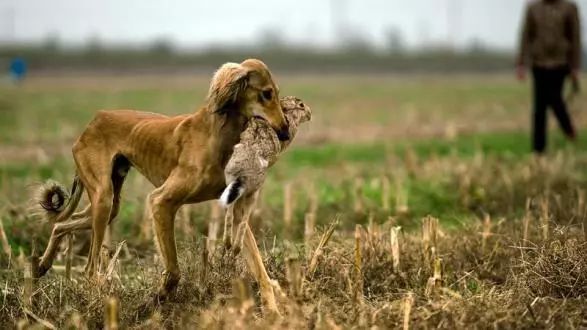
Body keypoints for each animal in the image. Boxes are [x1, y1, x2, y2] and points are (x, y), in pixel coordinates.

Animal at [34, 58, 290, 300]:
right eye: (266, 93)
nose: (286, 131)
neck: (216, 133)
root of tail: (94, 120)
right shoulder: (160, 201)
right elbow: (174, 270)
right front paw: (158, 297)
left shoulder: (235, 208)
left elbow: (260, 270)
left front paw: (274, 305)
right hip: (103, 198)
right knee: (89, 267)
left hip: (110, 202)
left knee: (60, 225)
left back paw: (42, 265)